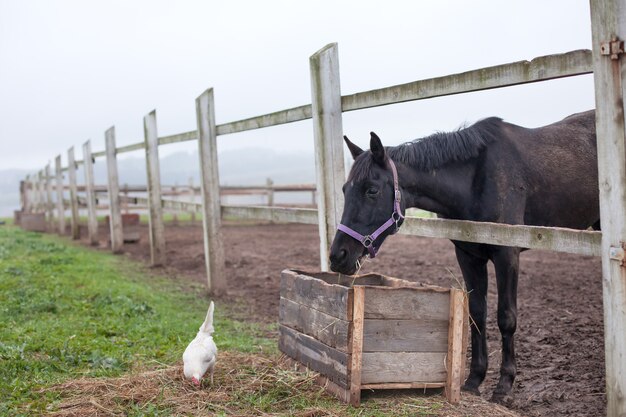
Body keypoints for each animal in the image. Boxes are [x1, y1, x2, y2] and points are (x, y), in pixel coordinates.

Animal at [326, 110, 596, 400]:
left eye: (372, 190)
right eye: (345, 190)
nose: (338, 256)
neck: (476, 179)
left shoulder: (507, 255)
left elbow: (506, 317)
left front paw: (504, 385)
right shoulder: (468, 255)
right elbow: (476, 313)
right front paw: (473, 379)